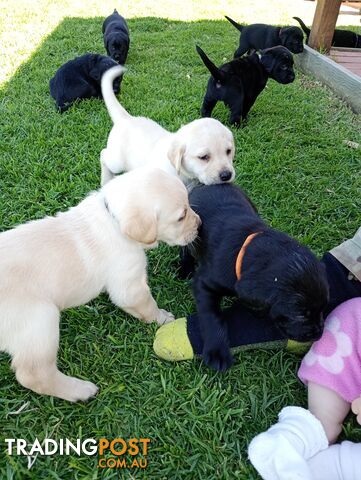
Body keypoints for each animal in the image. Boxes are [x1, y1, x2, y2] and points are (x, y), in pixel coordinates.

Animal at [0, 168, 200, 402]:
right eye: (181, 216)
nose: (200, 224)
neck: (113, 221)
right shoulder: (129, 283)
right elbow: (145, 304)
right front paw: (163, 318)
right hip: (40, 320)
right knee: (33, 373)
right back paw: (81, 390)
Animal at [100, 65, 235, 188]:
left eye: (229, 151)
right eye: (203, 157)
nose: (226, 175)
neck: (184, 174)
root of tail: (126, 118)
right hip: (117, 162)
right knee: (103, 154)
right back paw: (106, 180)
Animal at [180, 184, 330, 372]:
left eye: (324, 307)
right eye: (300, 315)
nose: (319, 334)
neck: (245, 249)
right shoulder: (205, 283)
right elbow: (211, 316)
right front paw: (217, 352)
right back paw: (184, 267)